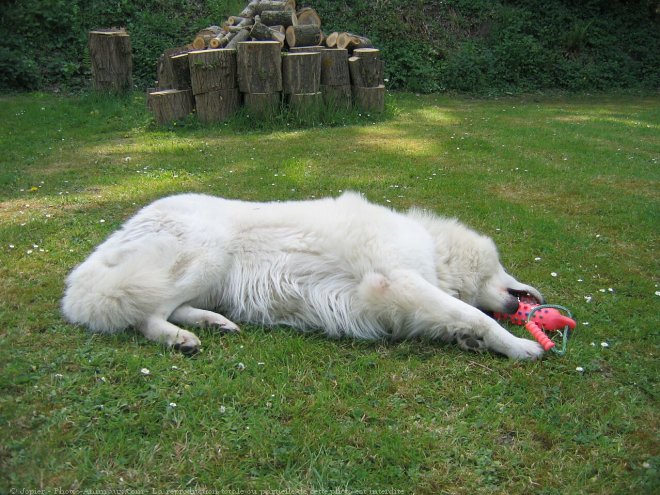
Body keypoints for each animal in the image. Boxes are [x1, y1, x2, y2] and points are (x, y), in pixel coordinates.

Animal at [63, 192, 548, 358]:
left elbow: (462, 317)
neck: (434, 246)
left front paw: (472, 341)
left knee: (171, 308)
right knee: (146, 314)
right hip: (205, 256)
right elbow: (477, 315)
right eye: (503, 263)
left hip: (210, 279)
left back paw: (213, 323)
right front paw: (522, 348)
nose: (535, 299)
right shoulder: (400, 283)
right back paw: (180, 339)